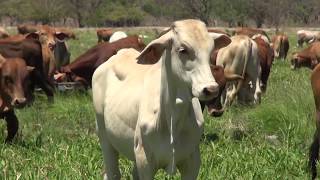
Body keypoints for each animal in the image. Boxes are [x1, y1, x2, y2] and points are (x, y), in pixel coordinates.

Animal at [91, 19, 229, 179]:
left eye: (210, 50)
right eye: (183, 50)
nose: (211, 89)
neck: (173, 119)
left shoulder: (192, 161)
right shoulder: (145, 160)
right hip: (104, 137)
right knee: (112, 172)